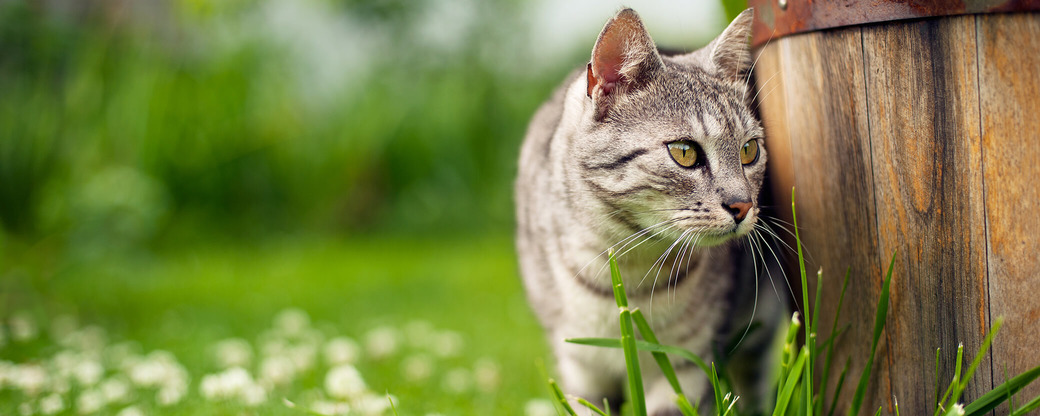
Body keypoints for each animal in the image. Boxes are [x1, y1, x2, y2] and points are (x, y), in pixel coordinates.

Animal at [511, 7, 782, 416]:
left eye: (749, 150)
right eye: (685, 152)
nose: (744, 205)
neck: (631, 268)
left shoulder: (687, 362)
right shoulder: (579, 366)